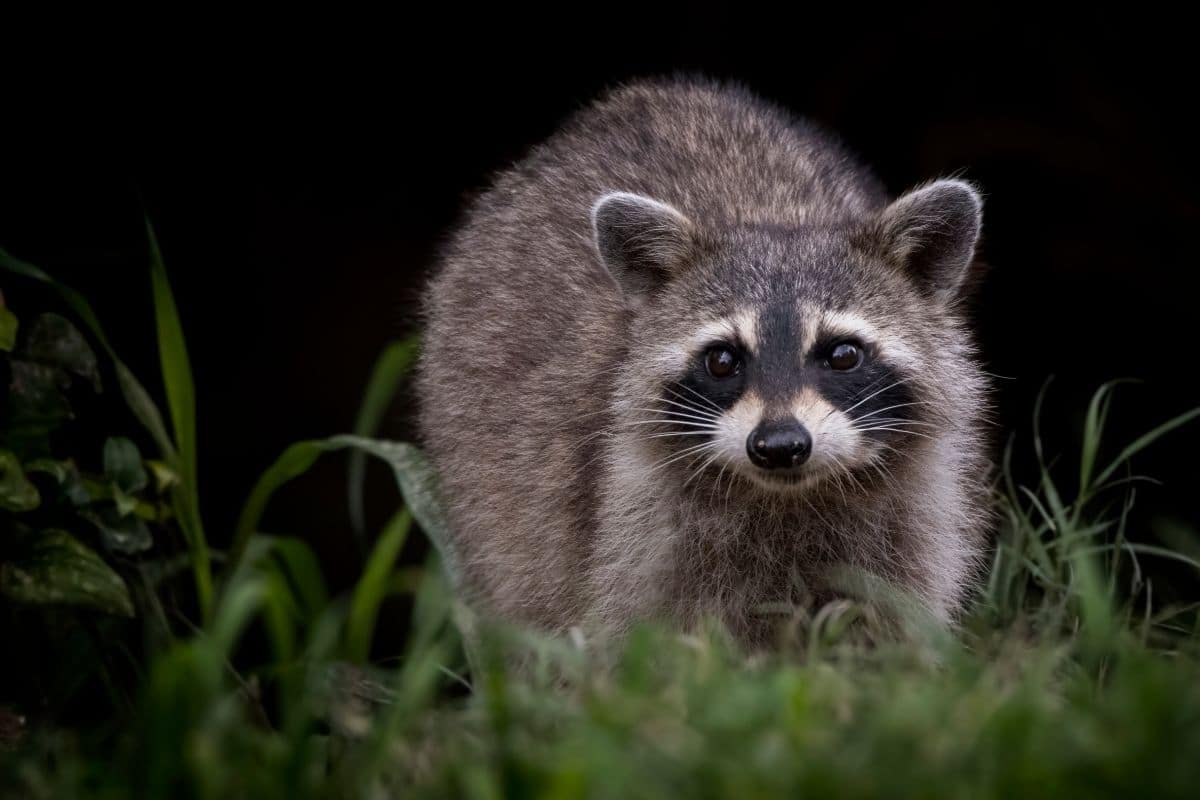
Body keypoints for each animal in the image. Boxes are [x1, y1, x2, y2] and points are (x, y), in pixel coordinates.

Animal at [417, 78, 991, 643]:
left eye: (843, 354)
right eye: (721, 360)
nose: (779, 446)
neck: (788, 499)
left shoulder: (914, 515)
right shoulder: (636, 527)